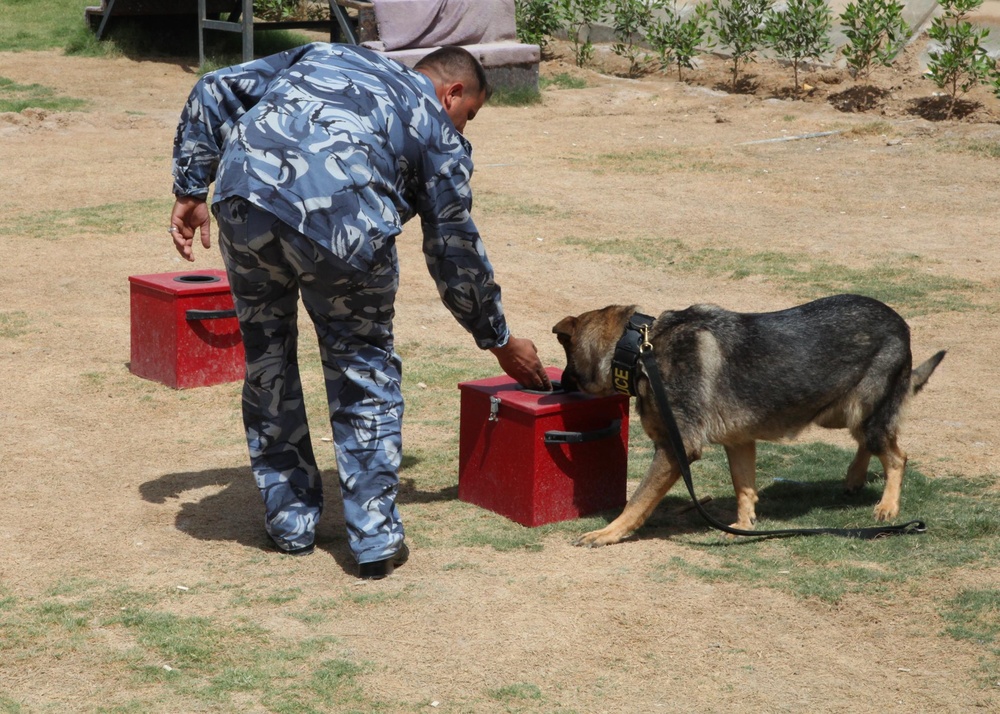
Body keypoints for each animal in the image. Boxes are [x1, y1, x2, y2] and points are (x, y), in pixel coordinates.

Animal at [556, 292, 944, 544]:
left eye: (568, 365)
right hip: (839, 413)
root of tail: (900, 322)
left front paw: (608, 533)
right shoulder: (739, 442)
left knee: (897, 455)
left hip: (863, 411)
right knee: (871, 443)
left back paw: (887, 507)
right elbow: (743, 486)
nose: (556, 386)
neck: (639, 350)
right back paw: (854, 478)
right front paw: (744, 525)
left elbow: (636, 500)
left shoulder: (674, 448)